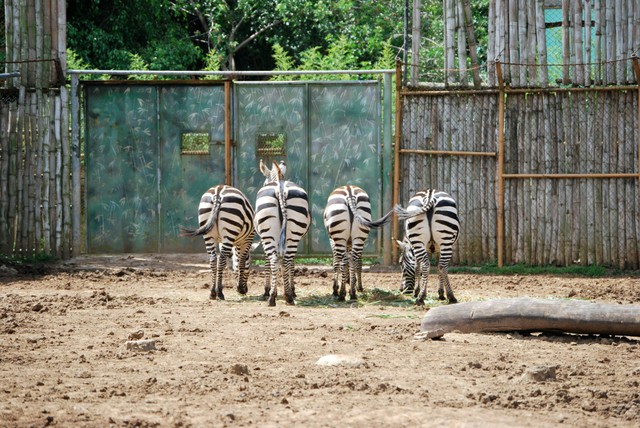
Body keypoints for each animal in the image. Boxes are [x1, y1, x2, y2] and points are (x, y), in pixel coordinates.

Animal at [256, 160, 312, 304]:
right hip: (292, 234)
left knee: (277, 260)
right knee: (284, 260)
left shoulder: (264, 239)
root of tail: (280, 188)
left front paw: (269, 290)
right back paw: (284, 296)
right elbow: (289, 263)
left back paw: (279, 296)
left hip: (271, 234)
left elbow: (268, 262)